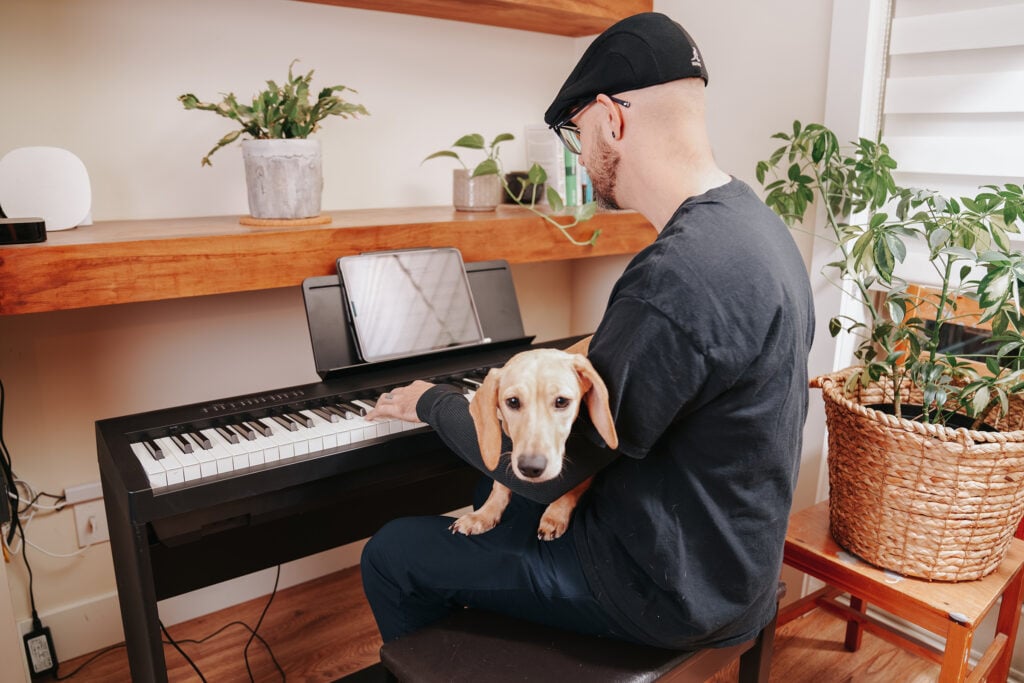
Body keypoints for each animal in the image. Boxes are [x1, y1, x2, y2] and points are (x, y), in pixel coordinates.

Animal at [454, 339, 614, 540]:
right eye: (513, 401)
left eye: (561, 401)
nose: (530, 468)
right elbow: (499, 485)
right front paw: (484, 514)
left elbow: (571, 489)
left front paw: (555, 516)